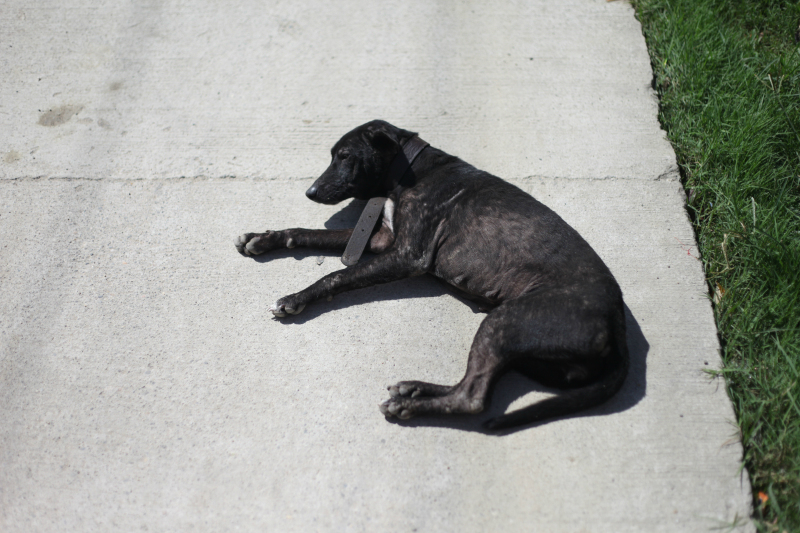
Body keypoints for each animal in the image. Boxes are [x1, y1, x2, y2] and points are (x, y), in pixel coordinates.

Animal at [235, 120, 628, 430]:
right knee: (468, 384)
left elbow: (333, 276)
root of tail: (618, 322)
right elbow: (307, 233)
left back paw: (408, 405)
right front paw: (265, 238)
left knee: (472, 397)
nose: (310, 191)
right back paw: (413, 389)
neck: (410, 169)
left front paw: (295, 298)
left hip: (505, 322)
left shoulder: (407, 255)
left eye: (344, 156)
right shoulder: (382, 240)